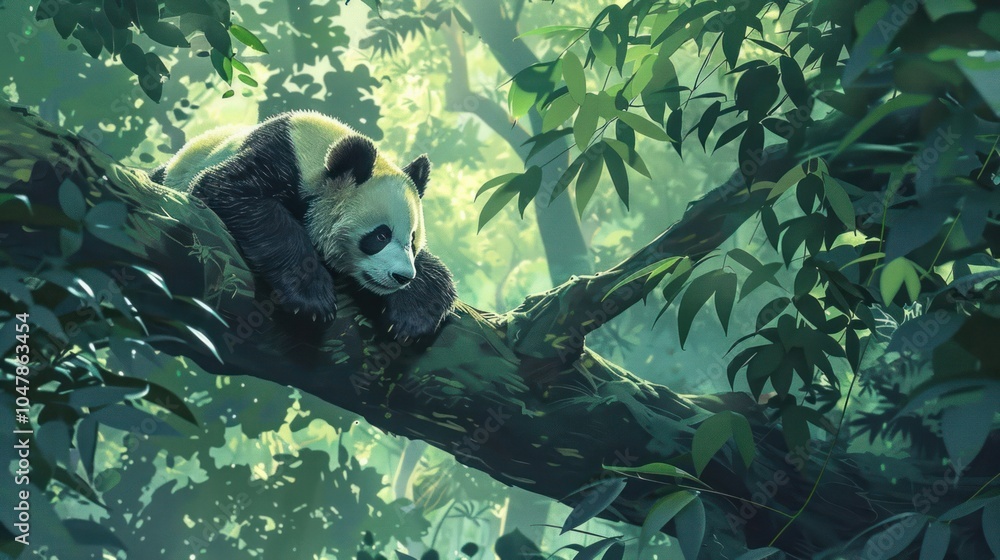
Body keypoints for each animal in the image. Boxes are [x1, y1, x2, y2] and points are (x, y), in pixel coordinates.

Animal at [153, 111, 457, 339]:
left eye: (413, 240)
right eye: (380, 236)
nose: (403, 277)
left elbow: (435, 271)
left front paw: (412, 317)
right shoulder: (274, 161)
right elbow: (232, 191)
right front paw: (311, 300)